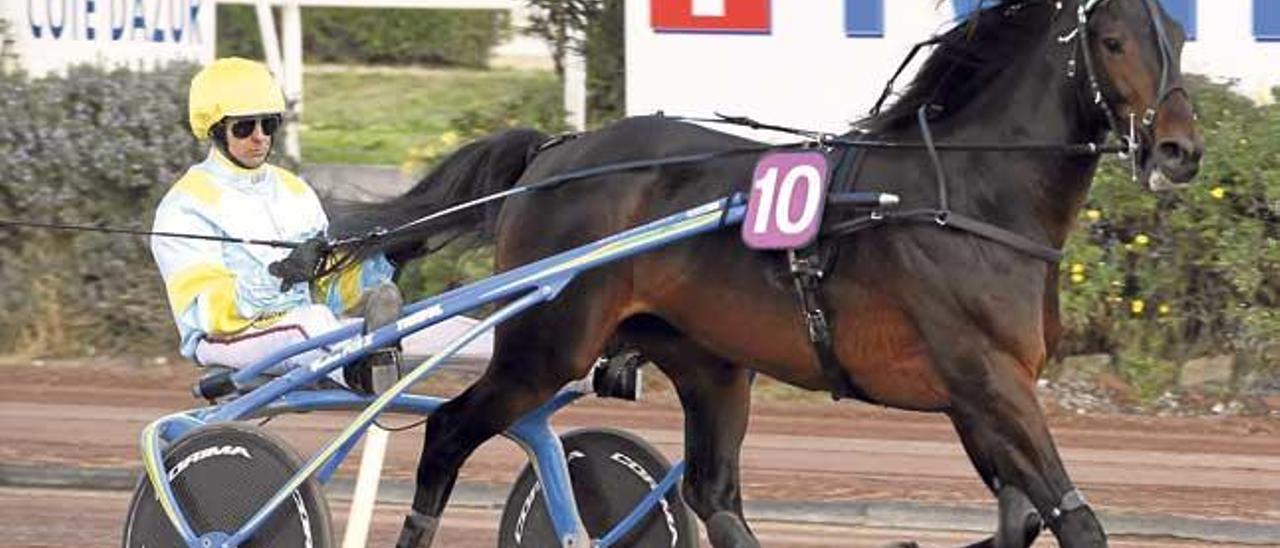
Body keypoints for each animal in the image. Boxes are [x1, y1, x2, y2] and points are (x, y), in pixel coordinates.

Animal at [330, 2, 1198, 545]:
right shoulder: (986, 379)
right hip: (545, 348)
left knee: (712, 494)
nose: (1180, 151)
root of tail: (554, 151)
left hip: (708, 363)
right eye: (1113, 40)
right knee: (446, 434)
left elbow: (1023, 517)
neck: (969, 196)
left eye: (1178, 35)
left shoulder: (979, 398)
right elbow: (1076, 520)